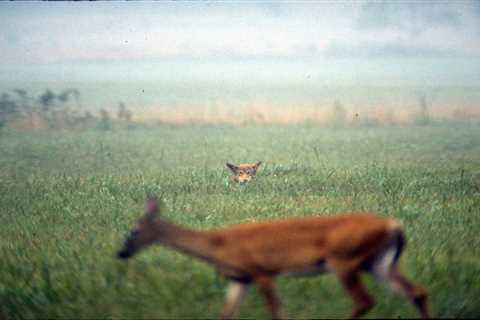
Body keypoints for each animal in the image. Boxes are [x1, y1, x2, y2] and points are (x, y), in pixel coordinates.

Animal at [117, 199, 432, 318]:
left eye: (133, 230)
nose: (120, 253)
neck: (219, 245)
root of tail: (394, 225)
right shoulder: (240, 279)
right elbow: (225, 313)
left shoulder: (263, 272)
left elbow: (276, 310)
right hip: (378, 262)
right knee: (417, 291)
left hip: (345, 260)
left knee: (364, 301)